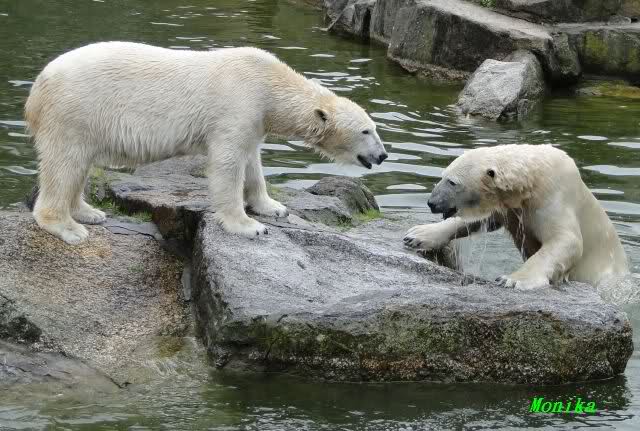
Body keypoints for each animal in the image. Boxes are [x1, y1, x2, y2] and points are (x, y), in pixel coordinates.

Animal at [24, 41, 387, 244]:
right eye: (366, 131)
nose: (383, 155)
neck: (270, 83)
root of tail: (37, 87)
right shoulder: (237, 103)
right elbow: (227, 163)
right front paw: (248, 226)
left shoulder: (255, 118)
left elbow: (252, 160)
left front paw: (273, 207)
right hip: (75, 109)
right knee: (65, 163)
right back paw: (68, 227)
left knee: (78, 165)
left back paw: (89, 212)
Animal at [403, 144, 629, 289]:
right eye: (442, 176)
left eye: (452, 182)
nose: (431, 202)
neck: (532, 178)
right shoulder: (509, 206)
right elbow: (480, 220)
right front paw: (417, 235)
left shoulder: (555, 195)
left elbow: (566, 240)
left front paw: (512, 279)